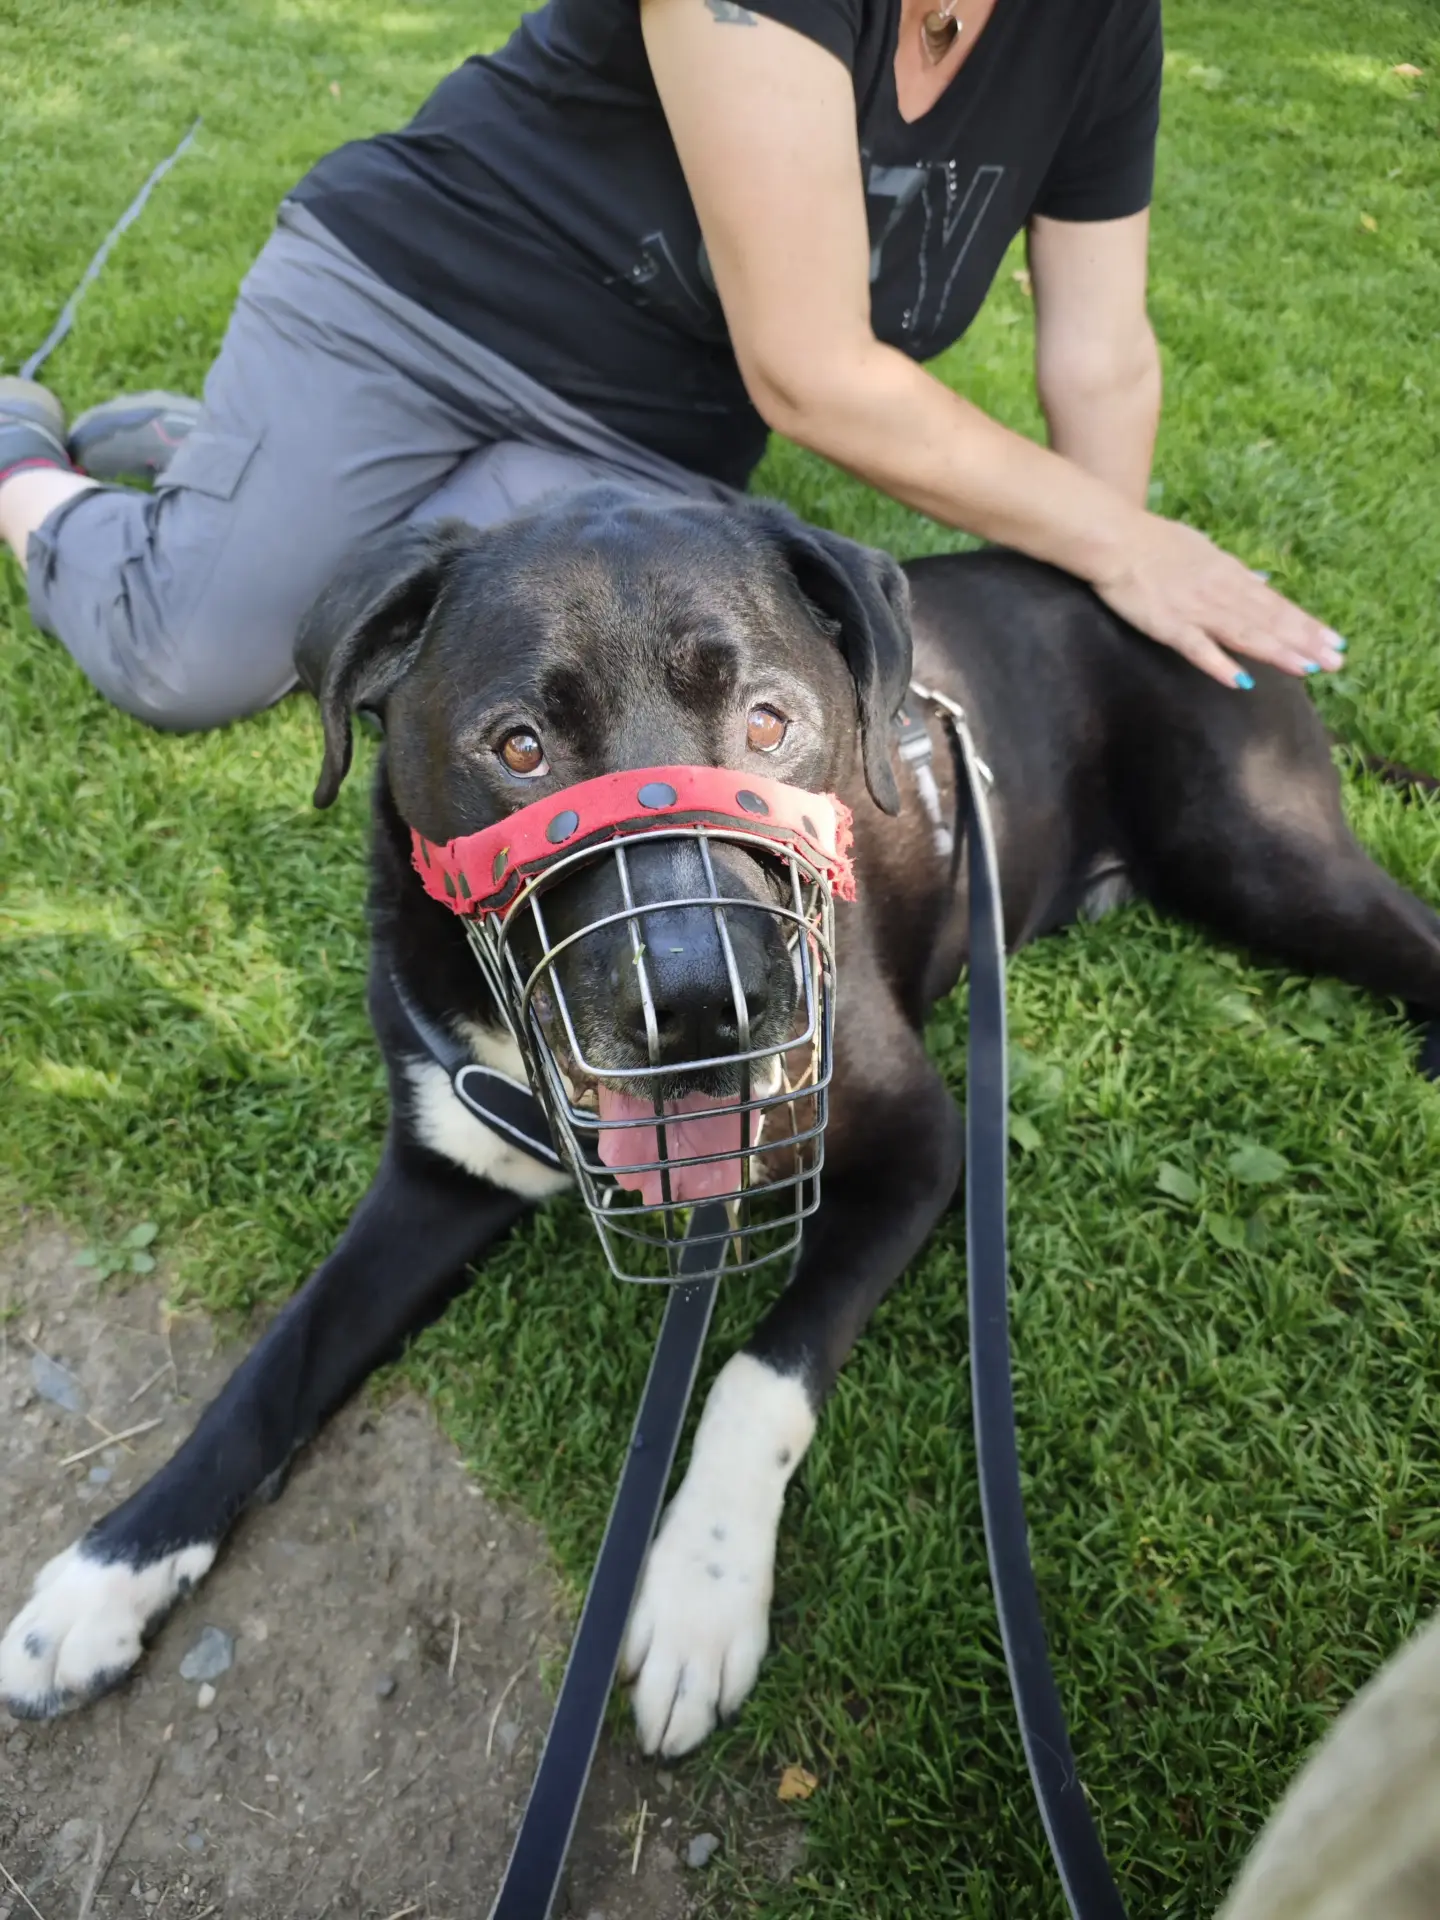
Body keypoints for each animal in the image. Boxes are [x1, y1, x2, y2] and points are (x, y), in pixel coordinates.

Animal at [3, 490, 1438, 1763]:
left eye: (770, 722)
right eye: (517, 745)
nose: (703, 1004)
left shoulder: (922, 1147)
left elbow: (761, 1372)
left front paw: (701, 1592)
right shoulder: (436, 1175)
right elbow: (273, 1366)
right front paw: (107, 1573)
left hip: (1254, 847)